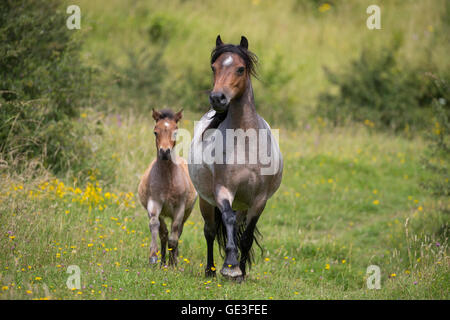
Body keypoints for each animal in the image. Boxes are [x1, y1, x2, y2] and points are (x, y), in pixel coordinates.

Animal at [139, 109, 197, 266]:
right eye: (155, 132)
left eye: (175, 132)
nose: (165, 152)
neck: (168, 180)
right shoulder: (154, 203)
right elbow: (155, 225)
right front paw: (153, 256)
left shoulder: (180, 208)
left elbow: (174, 234)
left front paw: (173, 263)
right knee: (164, 233)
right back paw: (163, 261)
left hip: (187, 212)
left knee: (177, 232)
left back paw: (173, 259)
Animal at [188, 35, 284, 280]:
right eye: (214, 67)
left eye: (240, 69)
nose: (217, 98)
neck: (246, 145)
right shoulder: (223, 191)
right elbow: (227, 220)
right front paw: (230, 266)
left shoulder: (259, 200)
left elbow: (246, 237)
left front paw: (239, 273)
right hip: (206, 201)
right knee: (211, 231)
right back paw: (210, 270)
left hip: (243, 204)